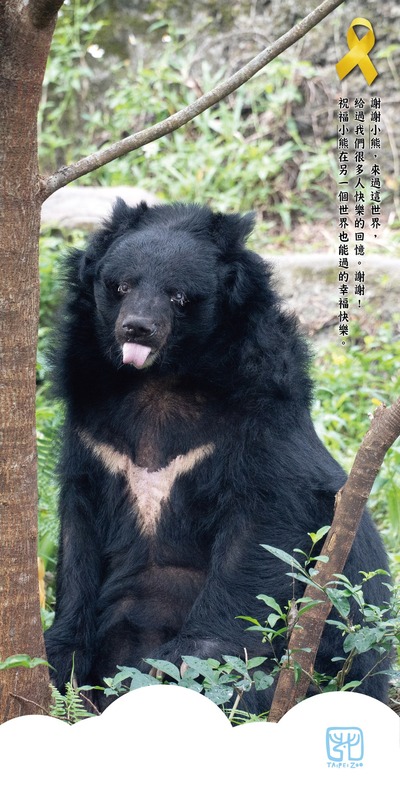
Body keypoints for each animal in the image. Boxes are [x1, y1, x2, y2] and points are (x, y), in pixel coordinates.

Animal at [44, 199, 391, 712]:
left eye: (178, 297)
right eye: (121, 286)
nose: (137, 329)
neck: (158, 381)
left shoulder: (258, 420)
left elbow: (260, 531)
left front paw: (191, 665)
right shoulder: (92, 434)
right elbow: (78, 535)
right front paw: (60, 657)